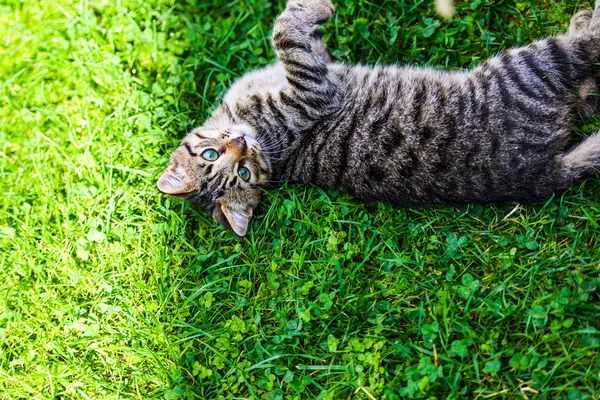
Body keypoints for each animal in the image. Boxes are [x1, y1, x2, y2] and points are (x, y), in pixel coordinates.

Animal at [157, 0, 600, 236]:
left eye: (215, 156)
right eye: (243, 173)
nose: (240, 144)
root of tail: (539, 174)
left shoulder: (317, 71)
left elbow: (303, 40)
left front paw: (314, 13)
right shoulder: (314, 93)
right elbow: (286, 34)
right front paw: (312, 9)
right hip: (528, 66)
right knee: (585, 52)